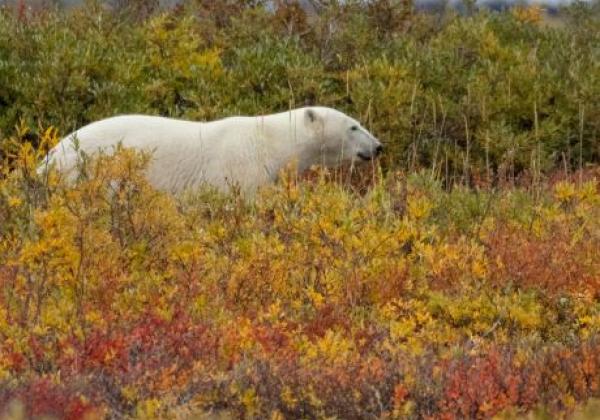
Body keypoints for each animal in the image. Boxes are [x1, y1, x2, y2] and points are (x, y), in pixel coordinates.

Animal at [42, 107, 382, 194]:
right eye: (353, 127)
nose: (378, 146)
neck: (270, 141)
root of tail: (47, 158)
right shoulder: (238, 170)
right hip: (84, 172)